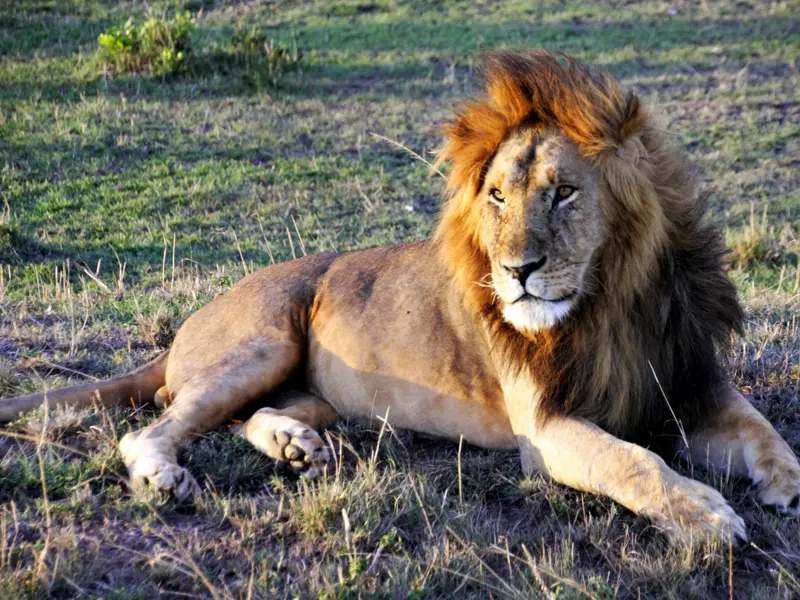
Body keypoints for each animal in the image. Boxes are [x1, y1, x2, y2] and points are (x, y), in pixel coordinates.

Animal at [2, 50, 799, 543]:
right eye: (497, 197)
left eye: (565, 193)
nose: (518, 271)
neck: (609, 303)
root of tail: (180, 334)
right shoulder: (547, 428)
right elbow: (637, 463)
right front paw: (708, 516)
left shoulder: (687, 380)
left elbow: (763, 429)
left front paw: (784, 484)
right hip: (263, 341)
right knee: (155, 426)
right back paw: (166, 477)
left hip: (317, 392)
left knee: (242, 416)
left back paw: (294, 447)